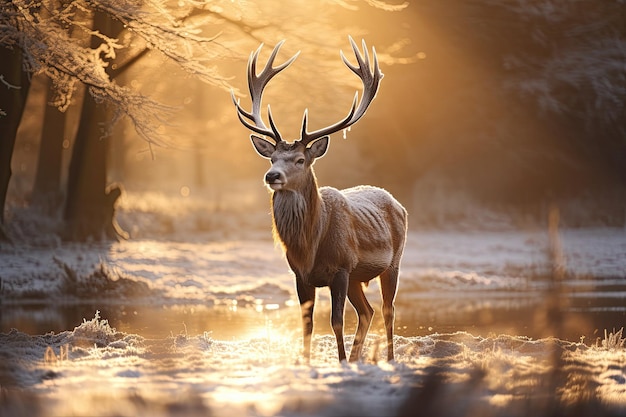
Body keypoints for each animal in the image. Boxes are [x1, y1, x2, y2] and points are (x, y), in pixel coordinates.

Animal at [232, 37, 408, 360]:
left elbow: (336, 321)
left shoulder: (340, 267)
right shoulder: (300, 274)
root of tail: (398, 203)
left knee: (387, 310)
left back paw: (389, 359)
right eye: (272, 158)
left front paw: (340, 362)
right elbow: (307, 324)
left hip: (393, 263)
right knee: (367, 311)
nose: (272, 176)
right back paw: (358, 357)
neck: (310, 245)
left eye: (300, 159)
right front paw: (308, 362)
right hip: (357, 278)